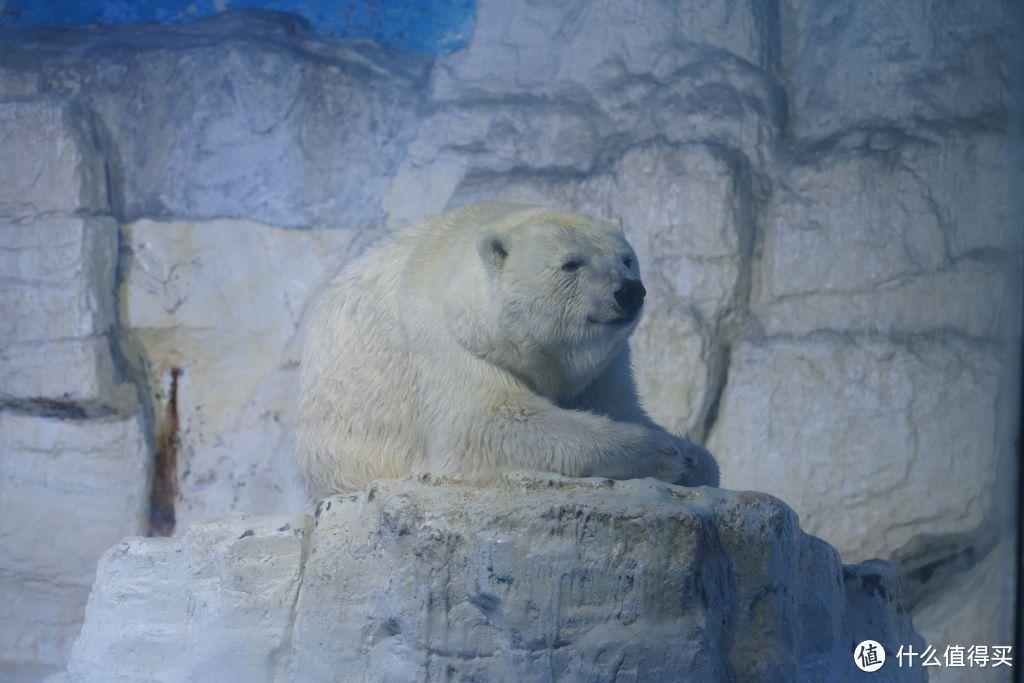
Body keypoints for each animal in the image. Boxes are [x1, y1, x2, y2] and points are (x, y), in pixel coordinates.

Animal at [292, 200, 716, 499]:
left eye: (627, 259)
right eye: (571, 264)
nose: (629, 291)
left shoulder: (606, 366)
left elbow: (620, 406)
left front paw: (693, 454)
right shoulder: (451, 341)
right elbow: (489, 424)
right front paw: (665, 453)